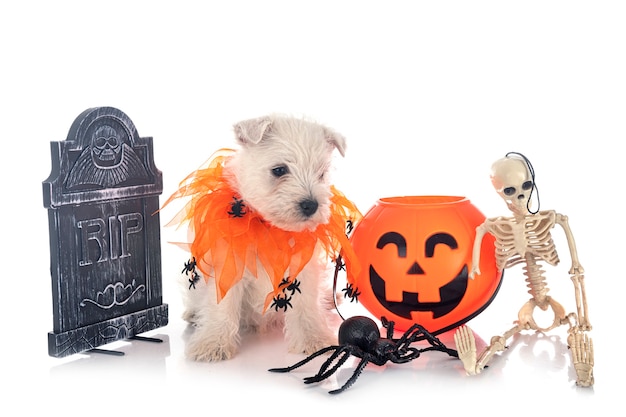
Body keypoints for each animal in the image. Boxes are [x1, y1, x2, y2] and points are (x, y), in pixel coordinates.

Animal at [165, 114, 360, 360]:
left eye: (321, 174)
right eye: (279, 170)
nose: (311, 205)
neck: (268, 228)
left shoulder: (304, 270)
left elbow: (306, 306)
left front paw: (313, 339)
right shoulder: (229, 266)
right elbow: (221, 305)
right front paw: (213, 344)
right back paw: (193, 313)